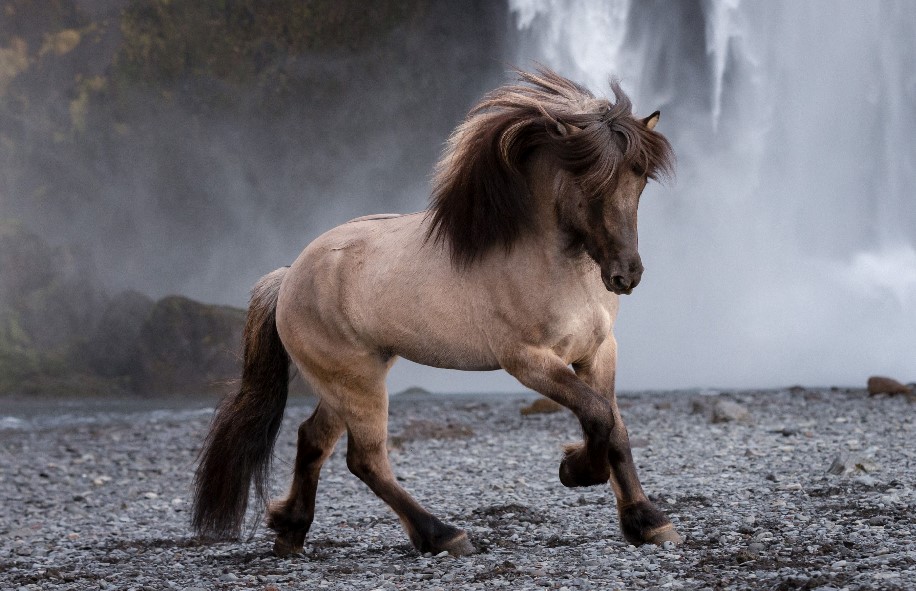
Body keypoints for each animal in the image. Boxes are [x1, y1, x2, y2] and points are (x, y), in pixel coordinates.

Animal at [191, 67, 680, 556]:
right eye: (590, 182)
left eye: (639, 181)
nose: (626, 275)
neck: (552, 264)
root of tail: (289, 275)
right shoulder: (528, 360)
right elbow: (598, 415)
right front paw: (575, 470)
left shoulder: (598, 350)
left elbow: (615, 427)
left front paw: (647, 521)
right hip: (356, 381)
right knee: (364, 459)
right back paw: (443, 534)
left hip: (344, 381)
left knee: (313, 440)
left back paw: (291, 530)